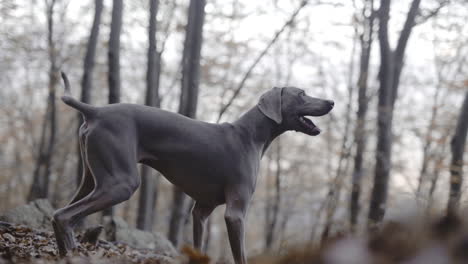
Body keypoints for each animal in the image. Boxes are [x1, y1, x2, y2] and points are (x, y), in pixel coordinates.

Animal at [54, 72, 332, 264]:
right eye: (302, 94)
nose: (331, 102)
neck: (251, 134)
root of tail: (95, 110)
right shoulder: (235, 213)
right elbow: (240, 256)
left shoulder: (201, 211)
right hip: (120, 183)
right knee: (64, 216)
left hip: (92, 180)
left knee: (61, 214)